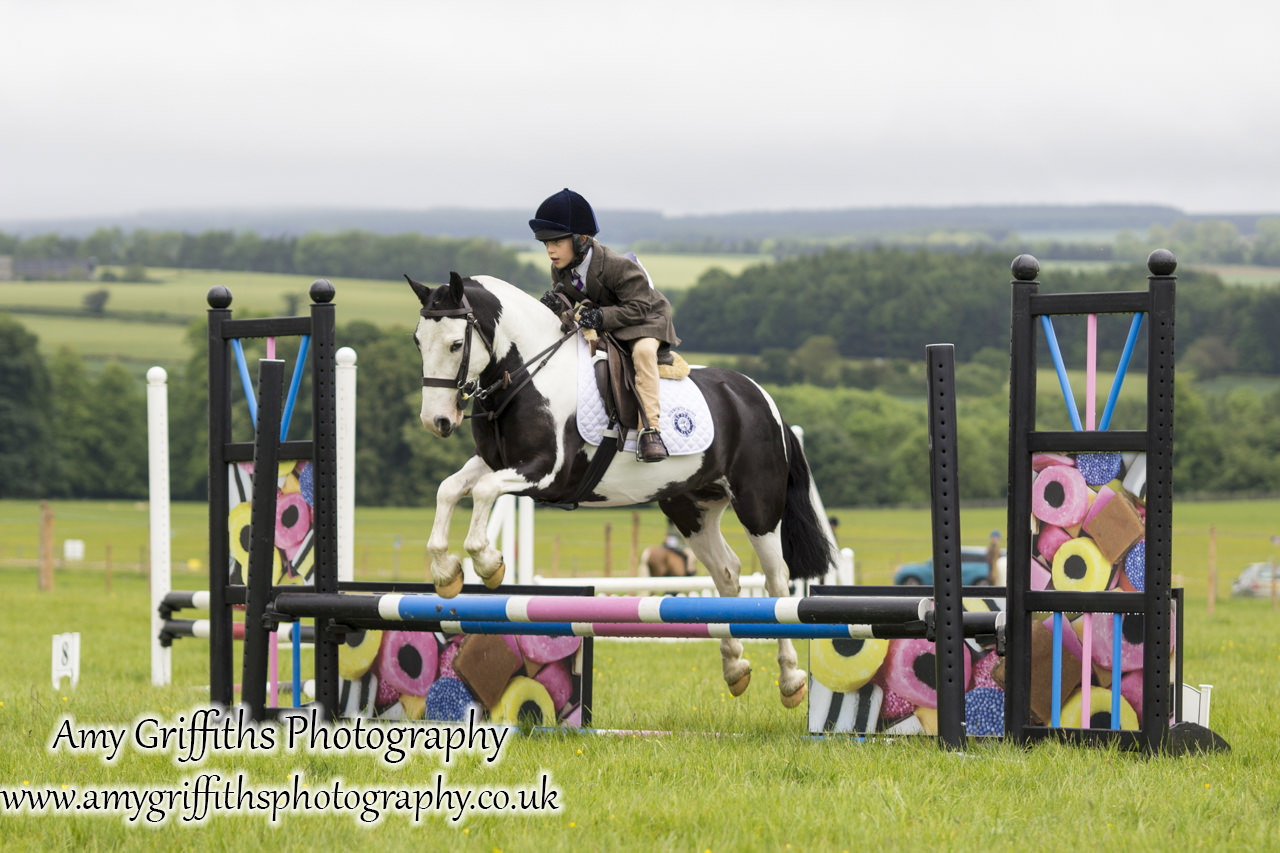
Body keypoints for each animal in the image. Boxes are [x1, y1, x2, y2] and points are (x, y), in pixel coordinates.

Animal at [409, 270, 839, 701]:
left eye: (456, 344)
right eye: (417, 341)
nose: (437, 422)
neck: (530, 375)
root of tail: (761, 398)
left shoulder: (544, 472)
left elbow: (483, 492)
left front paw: (489, 564)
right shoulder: (494, 463)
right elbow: (449, 489)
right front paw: (446, 573)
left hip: (758, 507)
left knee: (777, 581)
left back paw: (791, 679)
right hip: (691, 507)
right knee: (727, 572)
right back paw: (735, 668)